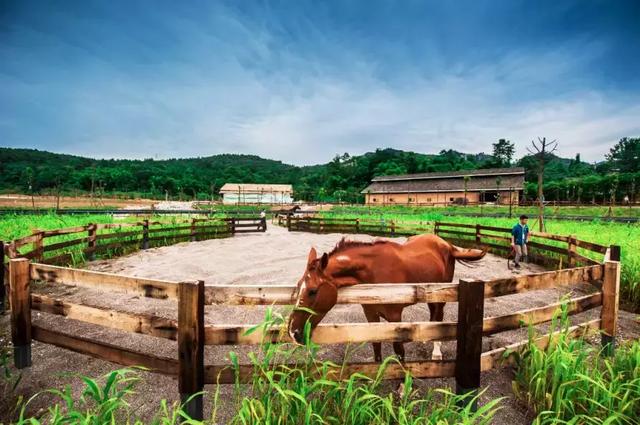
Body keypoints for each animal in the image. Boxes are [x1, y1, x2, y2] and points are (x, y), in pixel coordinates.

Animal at [288, 234, 484, 360]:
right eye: (298, 286)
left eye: (313, 291)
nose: (293, 332)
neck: (373, 275)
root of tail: (447, 244)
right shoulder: (371, 315)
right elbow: (376, 344)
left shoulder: (394, 316)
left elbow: (399, 349)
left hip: (442, 293)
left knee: (439, 316)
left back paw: (436, 351)